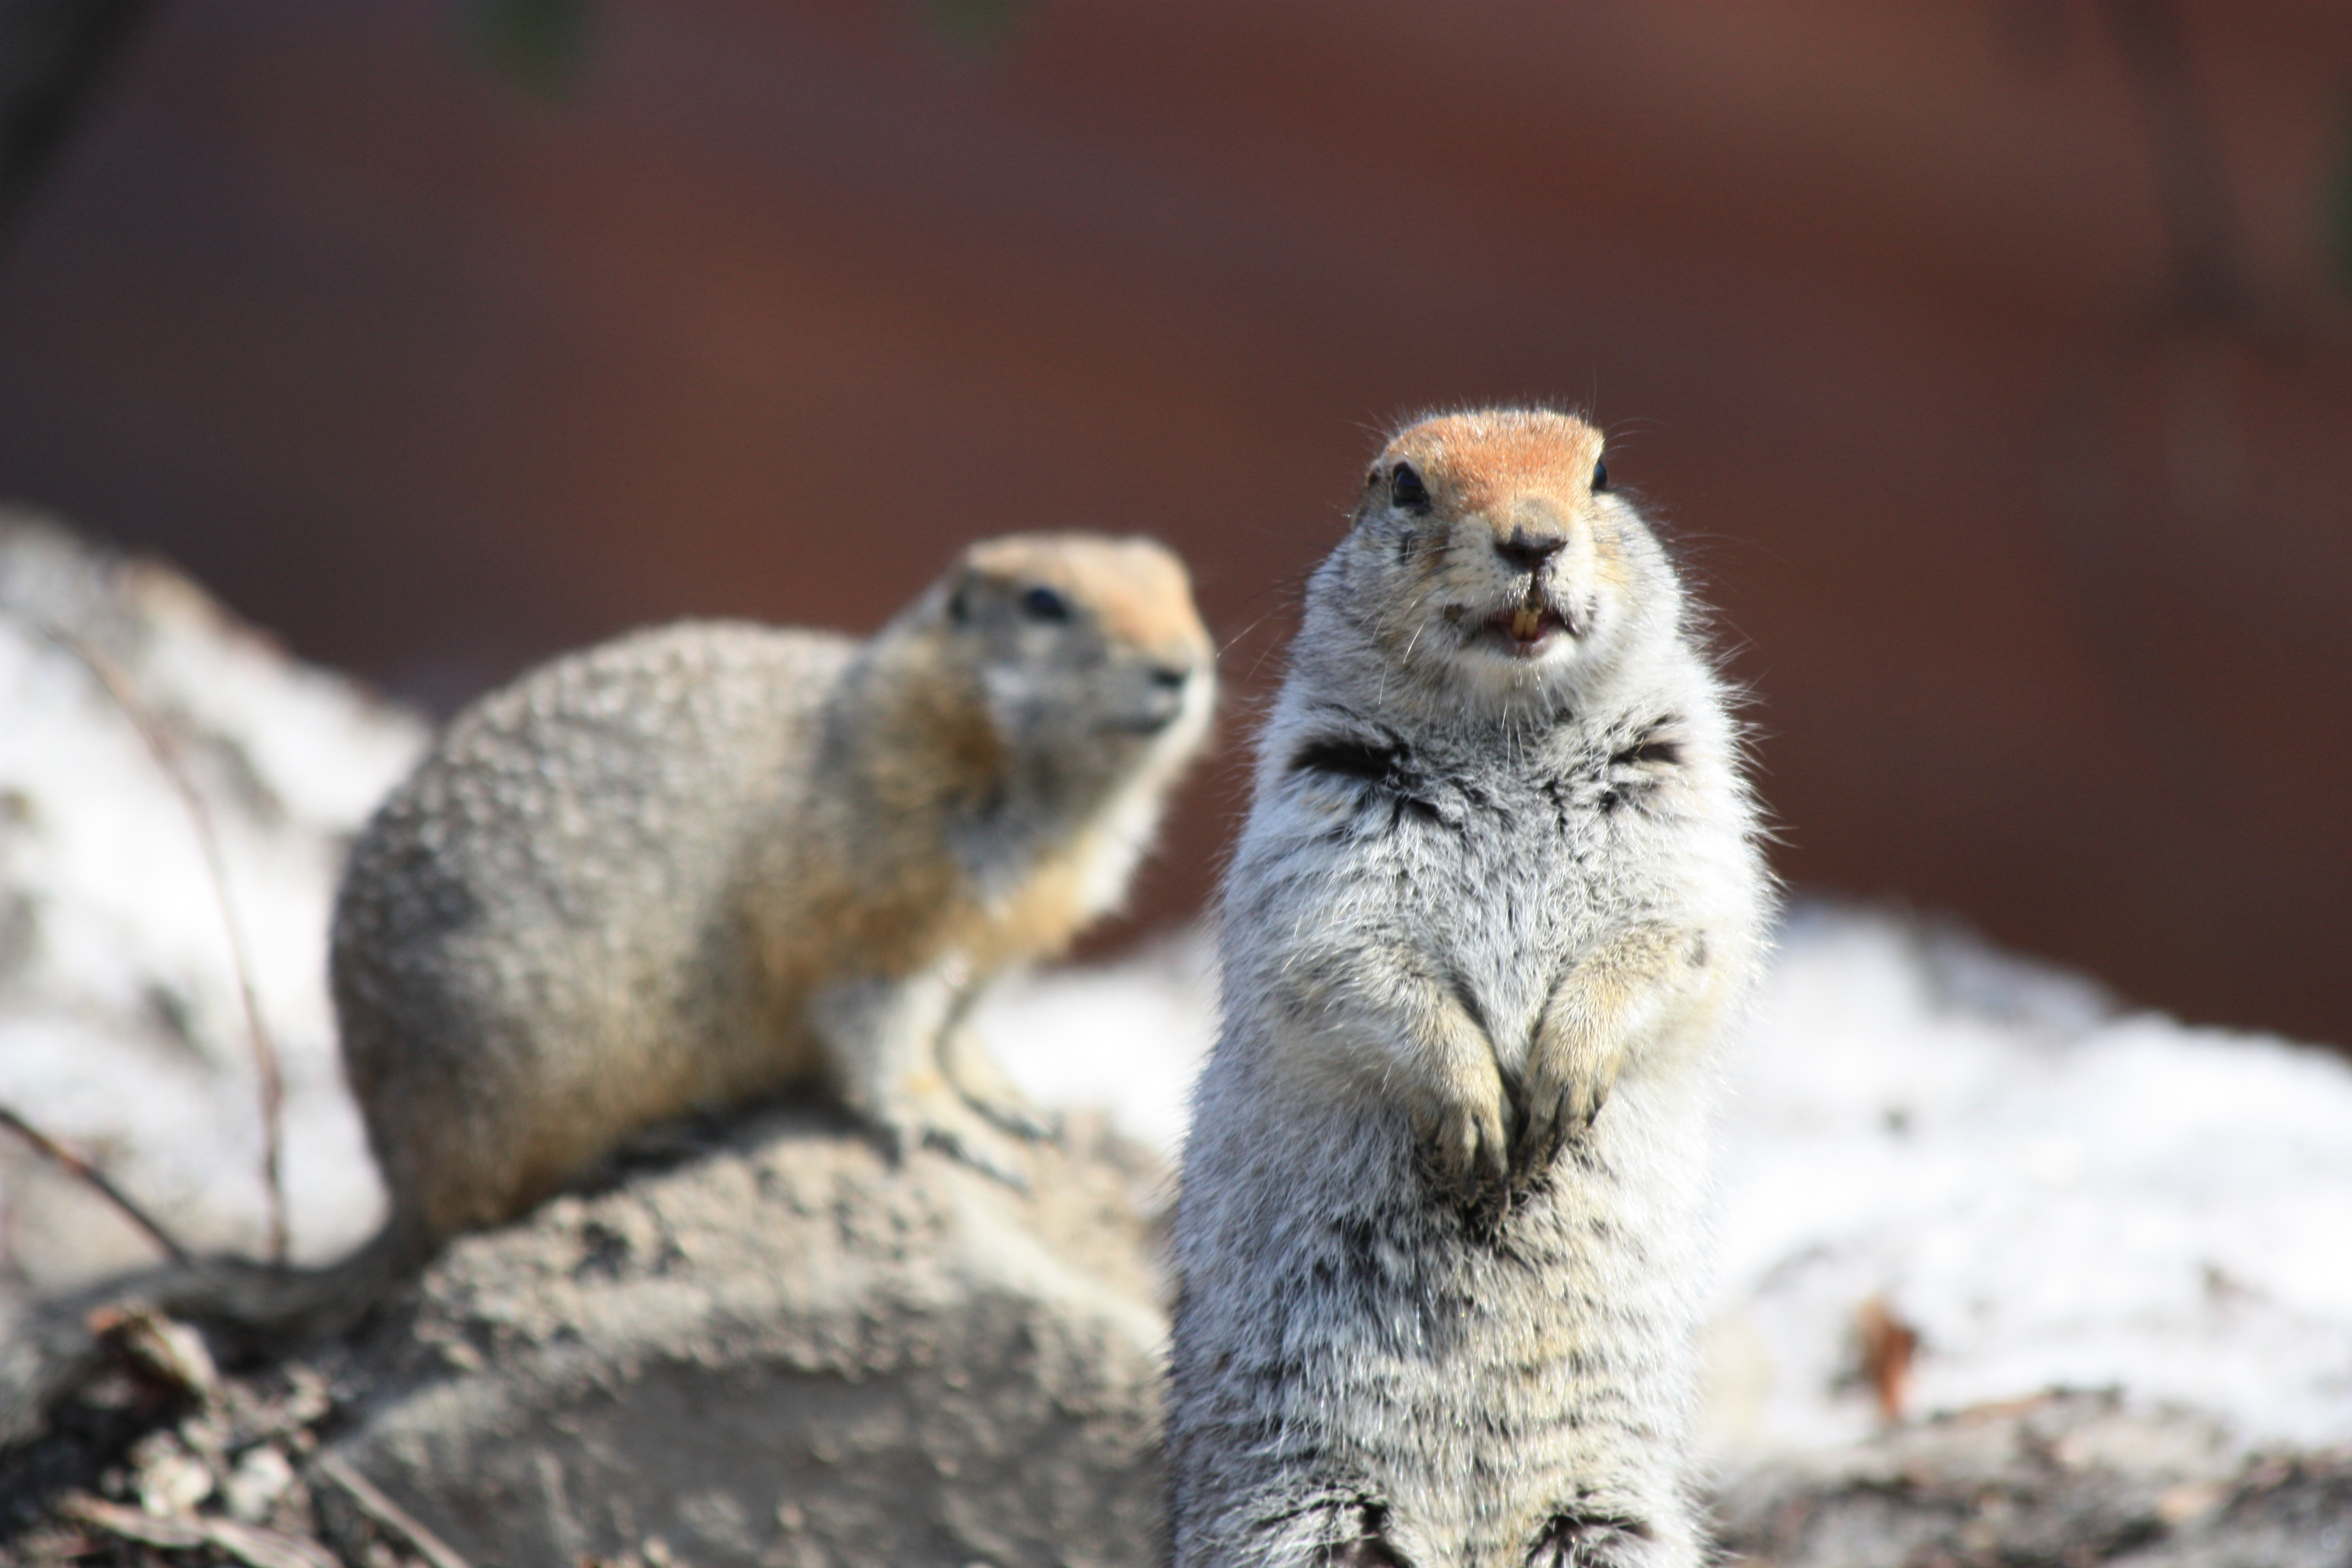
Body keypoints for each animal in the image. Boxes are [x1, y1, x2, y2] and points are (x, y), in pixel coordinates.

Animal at [1166, 413, 1768, 1568]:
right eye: (1404, 484)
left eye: (1601, 470)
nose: (1534, 539)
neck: (1507, 734)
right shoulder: (1321, 836)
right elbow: (1355, 970)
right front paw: (1477, 1112)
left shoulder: (1683, 819)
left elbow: (1664, 946)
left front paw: (1562, 1080)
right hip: (1295, 1518)